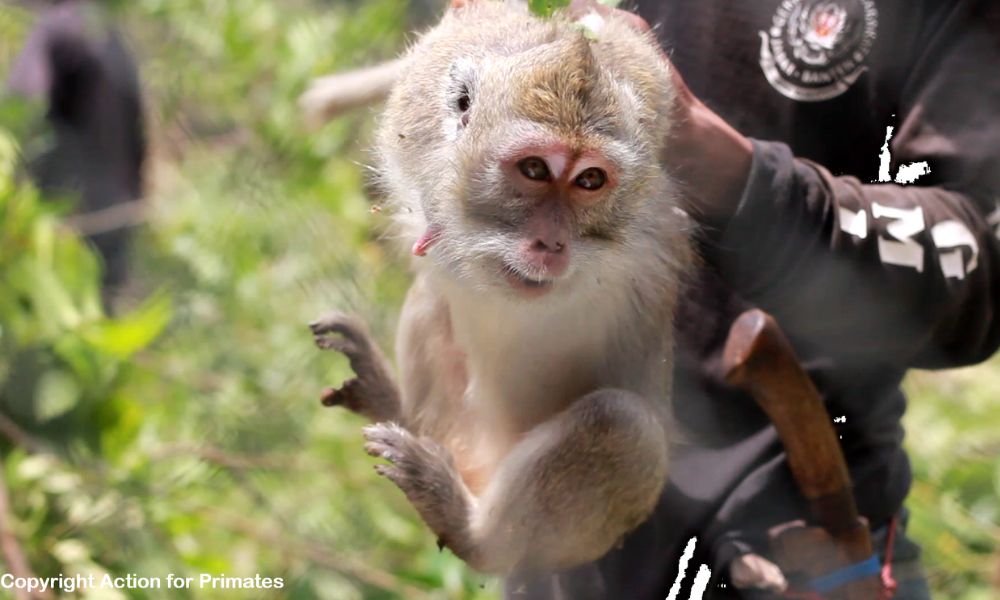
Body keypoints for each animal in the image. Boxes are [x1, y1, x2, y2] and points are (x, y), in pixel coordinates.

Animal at [312, 0, 692, 575]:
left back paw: (474, 535)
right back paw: (397, 407)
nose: (550, 242)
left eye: (589, 180)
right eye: (534, 169)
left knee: (622, 425)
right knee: (433, 296)